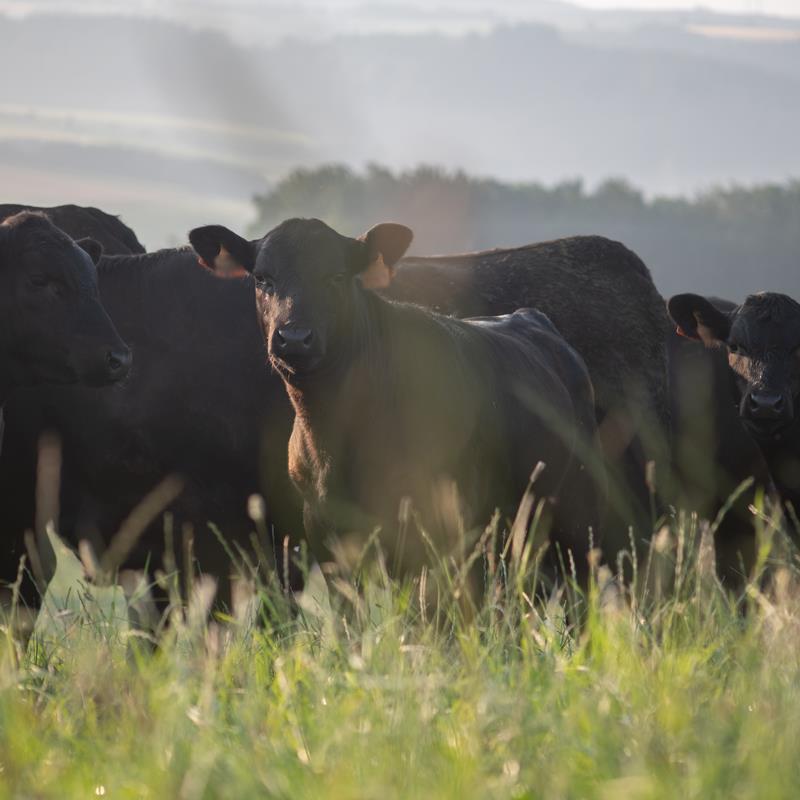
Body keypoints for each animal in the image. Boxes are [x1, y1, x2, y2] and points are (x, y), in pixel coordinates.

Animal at [189, 216, 608, 596]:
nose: (294, 337)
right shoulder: (326, 535)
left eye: (337, 276)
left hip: (574, 508)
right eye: (262, 278)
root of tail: (526, 317)